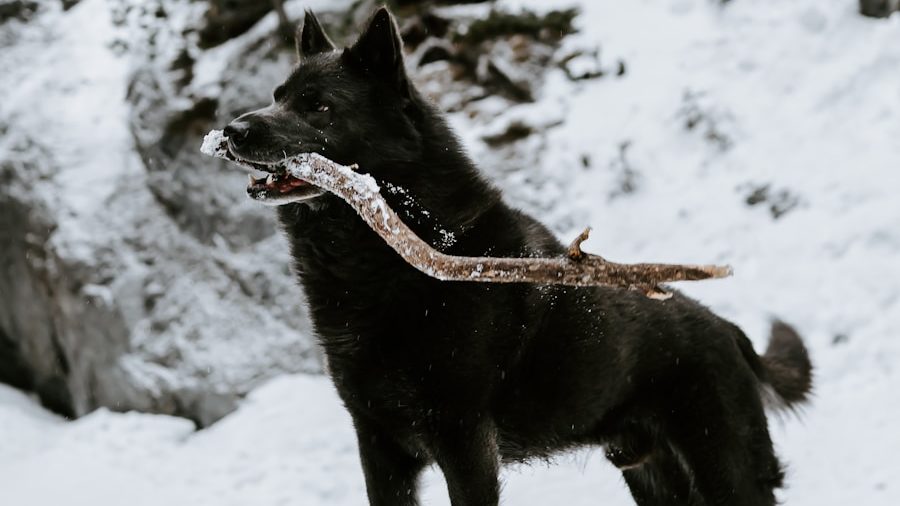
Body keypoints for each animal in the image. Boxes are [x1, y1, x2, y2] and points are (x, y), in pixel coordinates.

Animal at [220, 7, 812, 506]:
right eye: (277, 95)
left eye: (319, 106)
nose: (231, 131)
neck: (383, 263)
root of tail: (730, 332)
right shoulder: (379, 445)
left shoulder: (464, 442)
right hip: (653, 477)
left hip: (726, 472)